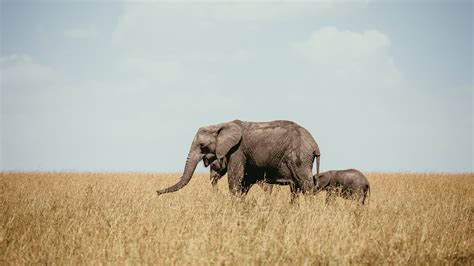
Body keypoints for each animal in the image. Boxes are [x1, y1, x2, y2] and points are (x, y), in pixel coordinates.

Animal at [157, 119, 320, 196]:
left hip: (300, 157)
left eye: (203, 145)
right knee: (296, 189)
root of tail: (315, 146)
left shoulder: (237, 150)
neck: (220, 125)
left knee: (306, 185)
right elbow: (244, 183)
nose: (157, 192)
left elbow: (235, 179)